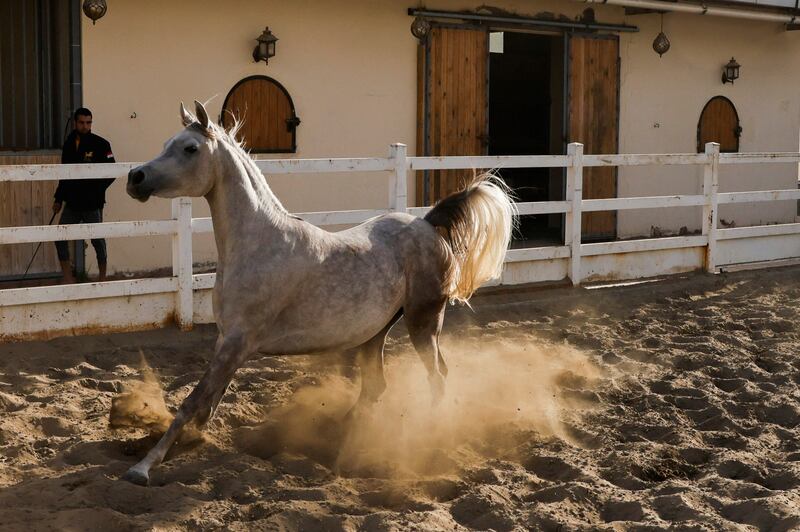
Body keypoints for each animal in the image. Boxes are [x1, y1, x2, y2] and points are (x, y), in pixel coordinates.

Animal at [122, 101, 516, 486]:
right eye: (166, 144)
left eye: (190, 148)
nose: (134, 178)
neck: (258, 244)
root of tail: (427, 223)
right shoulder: (227, 341)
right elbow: (208, 401)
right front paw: (186, 442)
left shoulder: (237, 341)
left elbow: (192, 401)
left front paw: (143, 467)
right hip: (375, 332)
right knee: (376, 386)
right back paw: (338, 434)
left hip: (424, 323)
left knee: (437, 378)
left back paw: (427, 439)